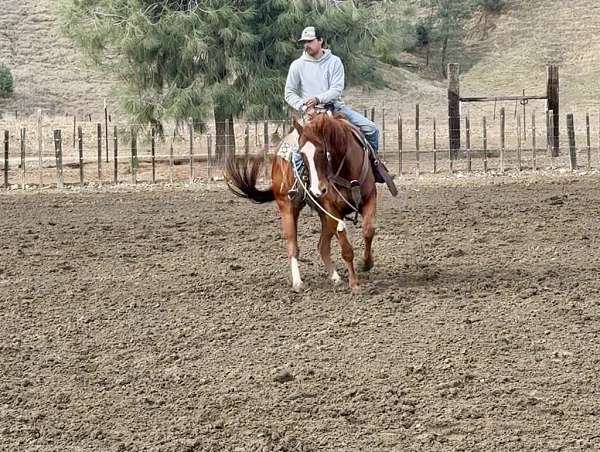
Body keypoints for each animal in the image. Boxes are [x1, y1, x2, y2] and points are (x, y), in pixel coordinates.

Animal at [227, 113, 378, 290]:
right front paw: (354, 283)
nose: (318, 190)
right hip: (288, 207)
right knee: (293, 246)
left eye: (322, 150)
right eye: (302, 154)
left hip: (323, 215)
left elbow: (368, 230)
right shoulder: (333, 210)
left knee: (322, 246)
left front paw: (366, 263)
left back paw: (335, 277)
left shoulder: (370, 198)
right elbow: (346, 248)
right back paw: (298, 282)